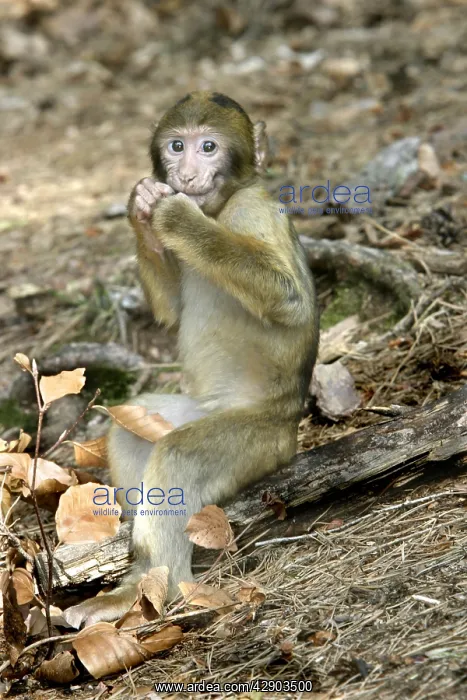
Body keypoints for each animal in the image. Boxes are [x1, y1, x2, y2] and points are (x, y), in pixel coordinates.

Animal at [64, 91, 319, 627]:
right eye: (176, 146)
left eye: (208, 147)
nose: (184, 173)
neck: (219, 209)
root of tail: (290, 432)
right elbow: (170, 312)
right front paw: (143, 205)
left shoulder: (254, 211)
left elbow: (288, 299)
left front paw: (176, 218)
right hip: (189, 412)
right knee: (131, 430)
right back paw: (139, 580)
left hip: (258, 443)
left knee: (179, 456)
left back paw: (162, 592)